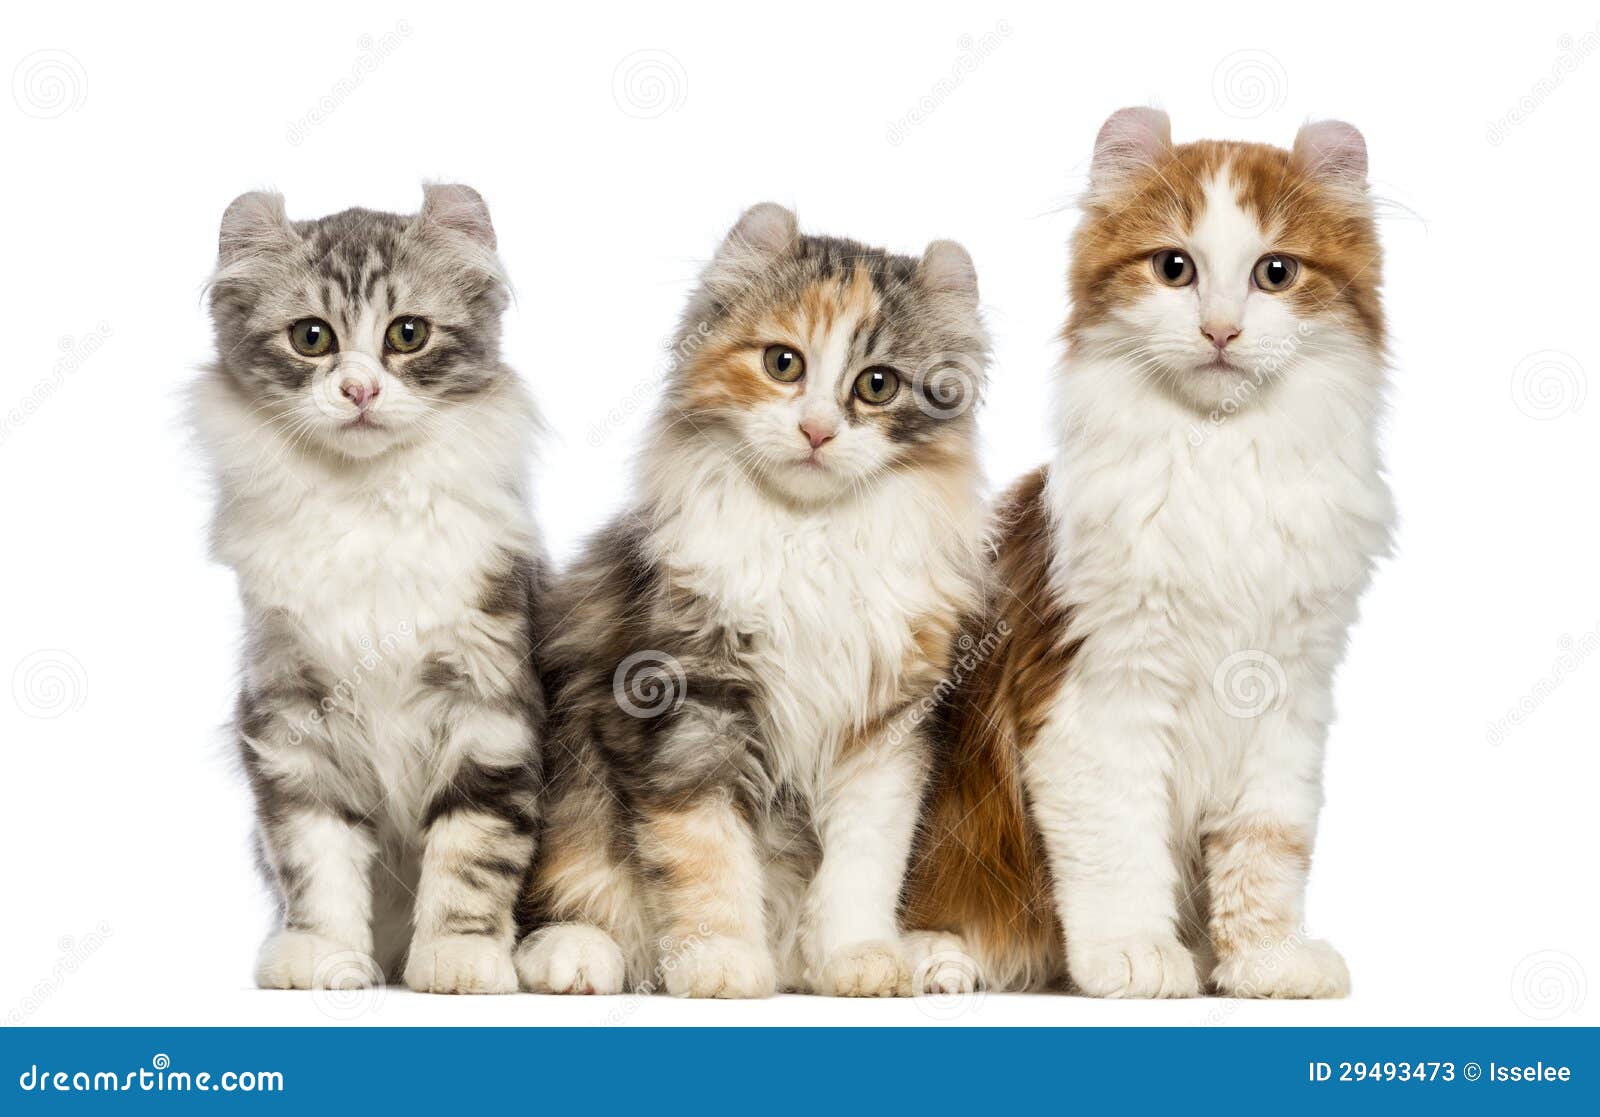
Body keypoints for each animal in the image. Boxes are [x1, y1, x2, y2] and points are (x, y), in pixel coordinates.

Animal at [189, 184, 544, 992]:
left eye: (407, 334)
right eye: (312, 337)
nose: (358, 389)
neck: (364, 499)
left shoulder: (488, 702)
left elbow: (472, 851)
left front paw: (459, 957)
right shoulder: (291, 714)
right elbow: (314, 854)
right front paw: (322, 954)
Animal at [515, 204, 985, 998]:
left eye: (878, 384)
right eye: (782, 363)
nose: (817, 430)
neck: (808, 535)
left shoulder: (887, 730)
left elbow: (863, 864)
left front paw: (858, 958)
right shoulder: (687, 705)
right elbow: (707, 855)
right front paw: (721, 961)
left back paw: (926, 956)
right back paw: (575, 953)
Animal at [908, 108, 1395, 998]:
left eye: (1276, 272)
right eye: (1175, 268)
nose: (1221, 329)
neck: (1223, 455)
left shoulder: (1288, 696)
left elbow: (1266, 850)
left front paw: (1265, 960)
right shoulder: (1098, 693)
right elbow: (1119, 846)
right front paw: (1135, 952)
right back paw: (933, 955)